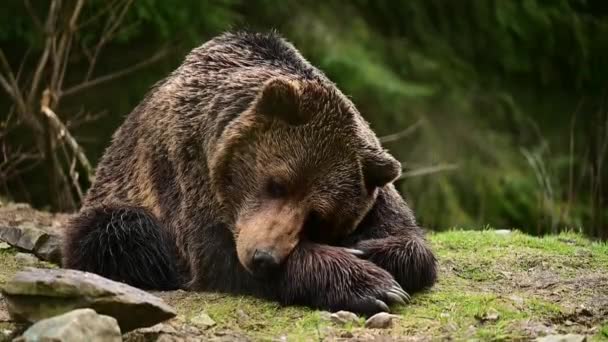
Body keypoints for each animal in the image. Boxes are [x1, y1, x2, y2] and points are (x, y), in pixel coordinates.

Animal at [64, 31, 436, 316]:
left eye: (318, 215)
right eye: (276, 184)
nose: (263, 257)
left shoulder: (373, 178)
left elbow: (409, 238)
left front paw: (370, 250)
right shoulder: (187, 164)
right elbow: (215, 254)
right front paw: (373, 285)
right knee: (118, 231)